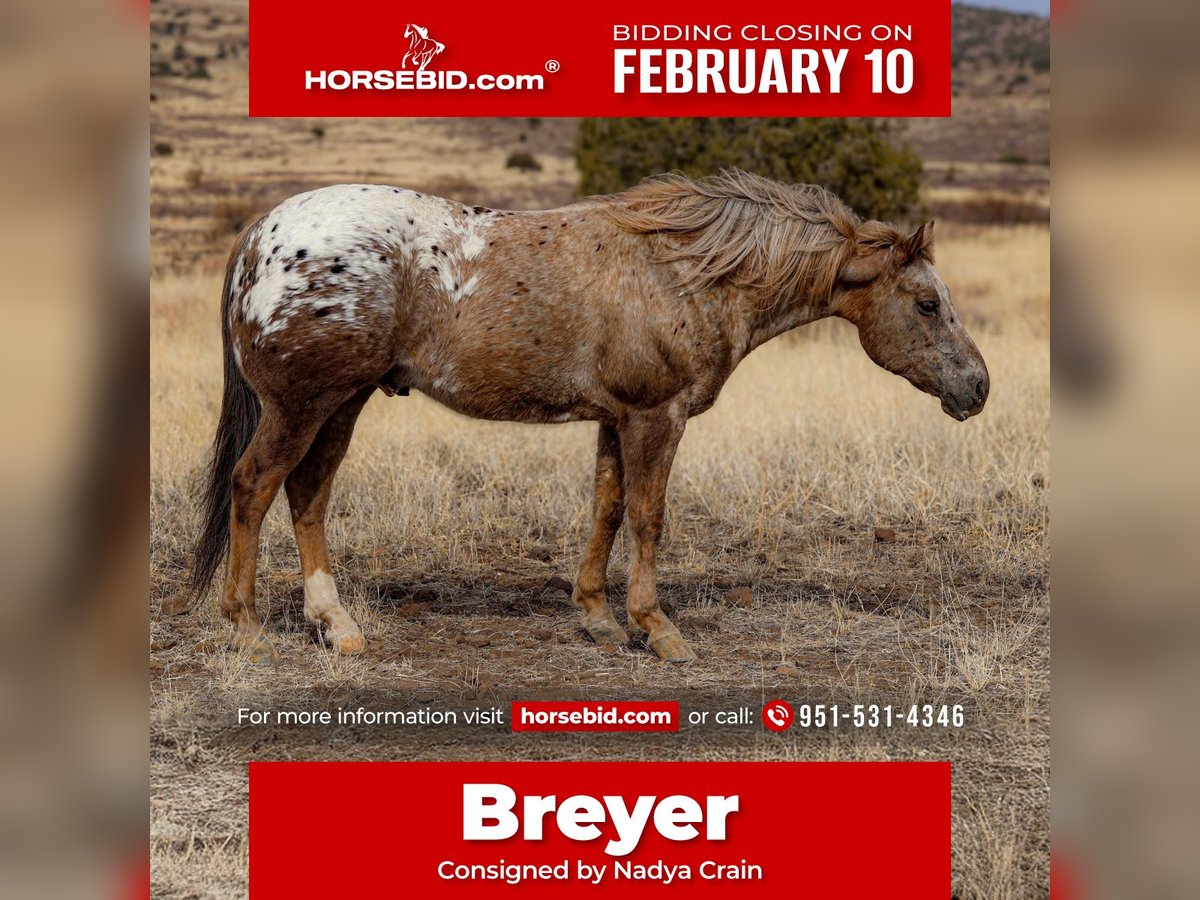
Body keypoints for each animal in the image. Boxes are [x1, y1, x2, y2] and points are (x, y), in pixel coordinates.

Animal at [187, 170, 988, 662]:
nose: (977, 388)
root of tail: (262, 230)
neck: (684, 272)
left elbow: (606, 507)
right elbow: (648, 516)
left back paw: (337, 625)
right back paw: (246, 623)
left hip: (342, 403)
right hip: (302, 406)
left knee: (307, 494)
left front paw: (597, 615)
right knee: (255, 487)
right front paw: (657, 629)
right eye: (926, 303)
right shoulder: (656, 416)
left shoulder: (614, 418)